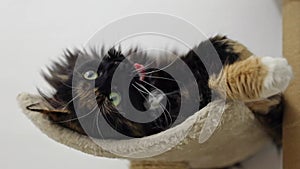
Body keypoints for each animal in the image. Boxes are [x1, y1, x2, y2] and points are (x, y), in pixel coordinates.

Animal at [27, 35, 292, 143]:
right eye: (114, 99)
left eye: (90, 75)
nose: (113, 69)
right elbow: (221, 81)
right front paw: (274, 71)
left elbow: (199, 53)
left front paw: (228, 47)